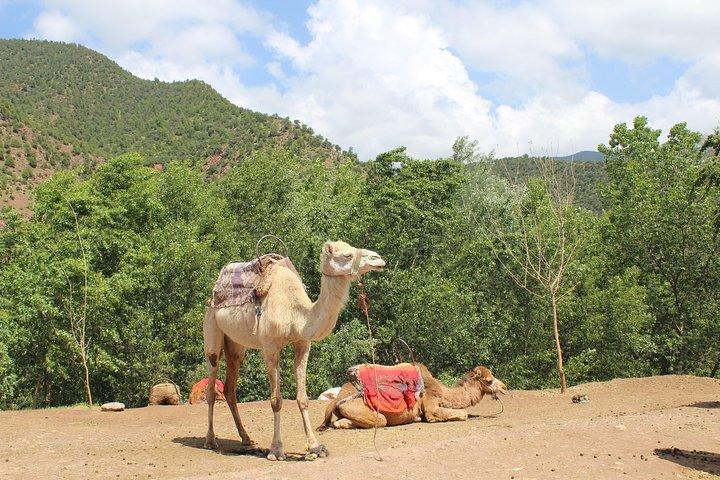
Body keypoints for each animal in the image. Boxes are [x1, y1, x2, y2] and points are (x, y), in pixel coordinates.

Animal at [203, 240, 385, 460]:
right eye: (347, 255)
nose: (378, 259)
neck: (296, 314)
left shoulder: (303, 344)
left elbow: (303, 399)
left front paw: (315, 447)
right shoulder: (270, 347)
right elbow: (276, 400)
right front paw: (276, 450)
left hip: (236, 345)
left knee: (230, 387)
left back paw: (247, 439)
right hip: (212, 329)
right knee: (211, 383)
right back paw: (210, 440)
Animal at [317, 363, 507, 430]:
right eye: (489, 380)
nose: (504, 387)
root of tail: (336, 399)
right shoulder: (430, 404)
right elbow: (463, 414)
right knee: (379, 421)